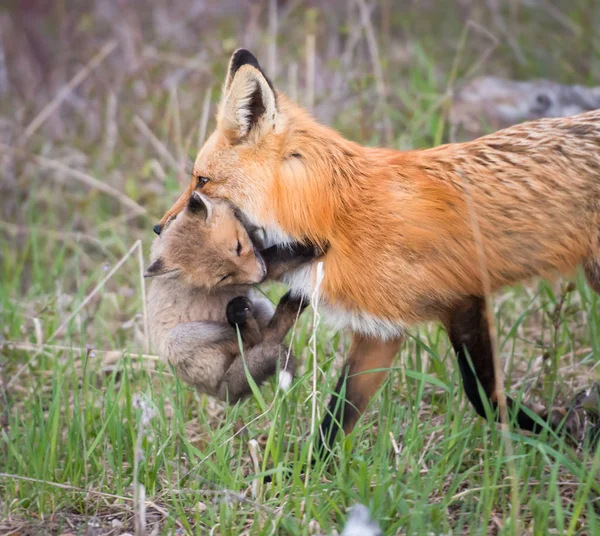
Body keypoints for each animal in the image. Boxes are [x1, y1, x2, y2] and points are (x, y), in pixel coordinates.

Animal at [156, 49, 600, 448]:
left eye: (201, 181)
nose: (158, 227)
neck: (337, 222)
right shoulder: (380, 330)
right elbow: (335, 421)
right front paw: (312, 480)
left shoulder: (465, 299)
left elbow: (484, 398)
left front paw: (565, 436)